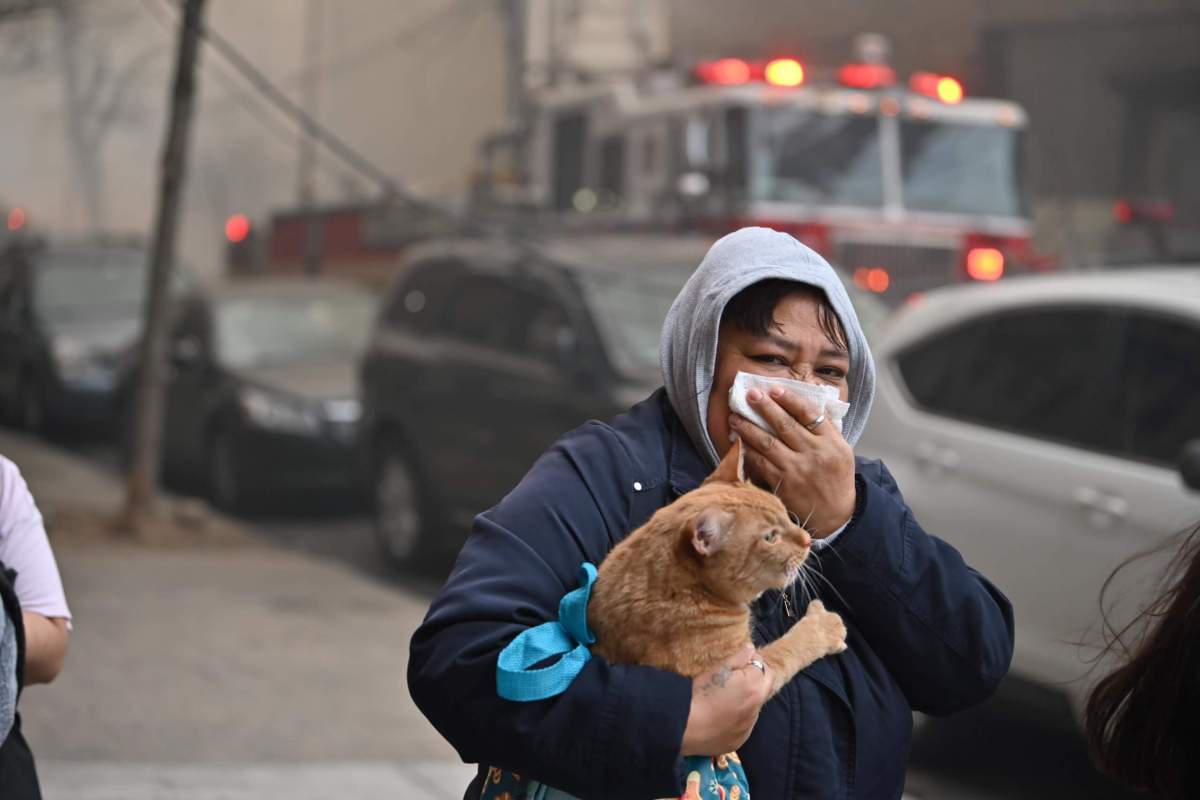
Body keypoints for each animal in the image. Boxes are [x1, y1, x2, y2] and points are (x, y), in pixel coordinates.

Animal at [585, 434, 849, 695]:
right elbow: (787, 650)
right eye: (770, 537)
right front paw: (822, 628)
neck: (686, 590)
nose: (807, 540)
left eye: (785, 512)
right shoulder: (747, 673)